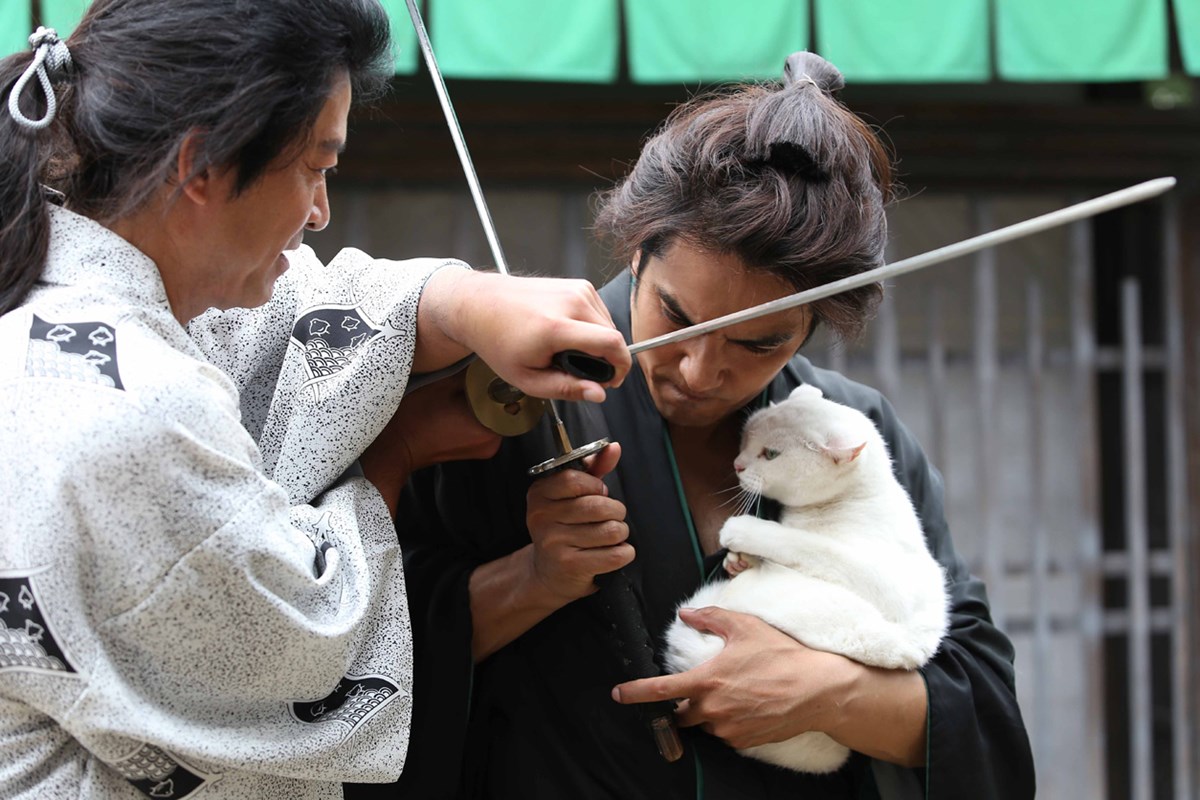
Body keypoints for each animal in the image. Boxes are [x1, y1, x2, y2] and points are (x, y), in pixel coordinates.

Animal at [662, 384, 949, 774]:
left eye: (770, 454)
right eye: (746, 438)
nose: (737, 464)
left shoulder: (885, 585)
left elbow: (804, 544)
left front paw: (744, 533)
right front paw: (739, 559)